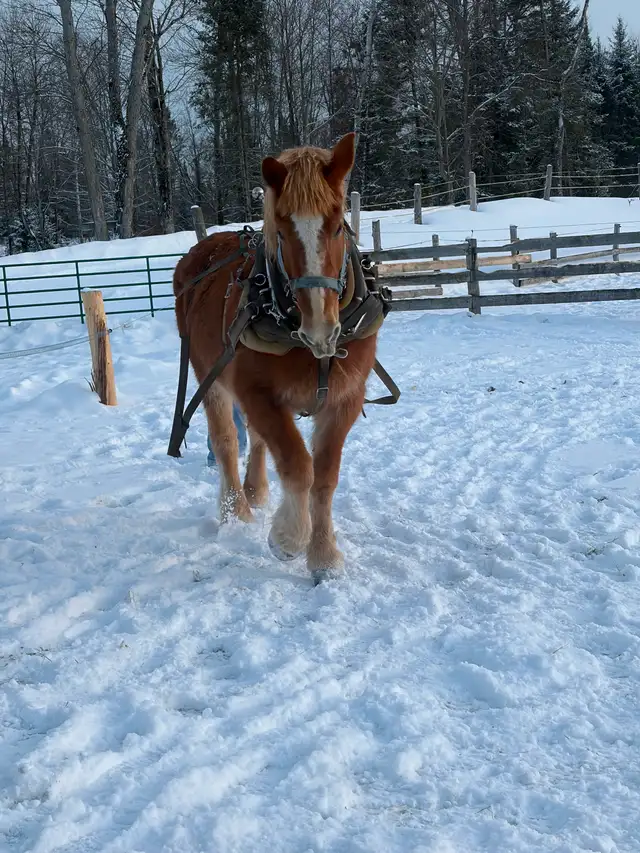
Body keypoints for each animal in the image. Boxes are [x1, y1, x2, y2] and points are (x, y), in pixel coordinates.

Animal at [172, 132, 385, 581]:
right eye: (283, 234)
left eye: (337, 226)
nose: (321, 328)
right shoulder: (257, 393)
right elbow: (298, 465)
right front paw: (288, 539)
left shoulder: (344, 399)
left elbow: (324, 477)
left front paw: (323, 556)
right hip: (209, 377)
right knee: (226, 440)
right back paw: (235, 512)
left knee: (254, 439)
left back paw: (255, 491)